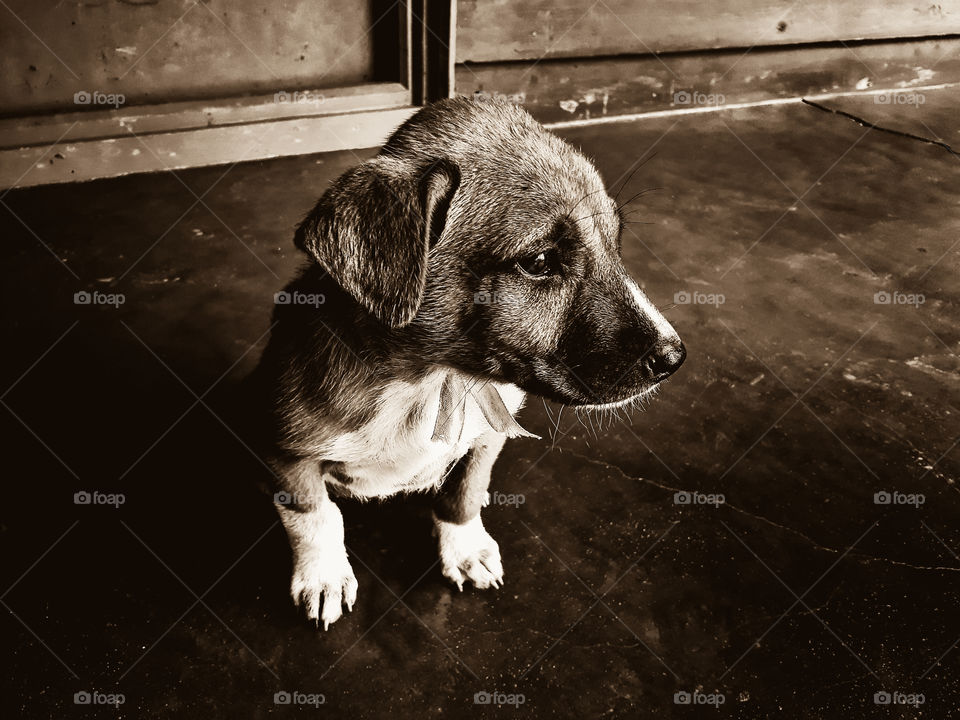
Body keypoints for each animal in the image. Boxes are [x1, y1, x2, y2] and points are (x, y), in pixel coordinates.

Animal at [248, 98, 684, 628]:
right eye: (539, 262)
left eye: (615, 244)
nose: (674, 358)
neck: (432, 381)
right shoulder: (285, 453)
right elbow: (314, 517)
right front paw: (324, 575)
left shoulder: (487, 437)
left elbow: (464, 493)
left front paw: (466, 549)